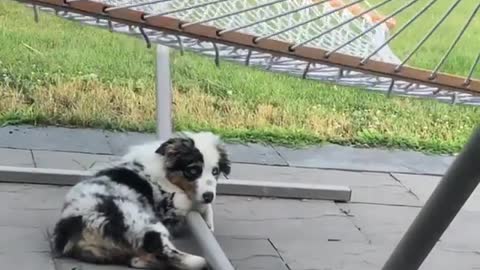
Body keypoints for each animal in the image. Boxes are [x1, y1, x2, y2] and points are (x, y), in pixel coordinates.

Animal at [51, 132, 232, 268]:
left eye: (215, 172)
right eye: (193, 171)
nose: (209, 196)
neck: (164, 170)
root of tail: (74, 224)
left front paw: (208, 222)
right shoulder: (171, 206)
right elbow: (187, 202)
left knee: (141, 259)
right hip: (146, 223)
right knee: (168, 253)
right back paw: (201, 260)